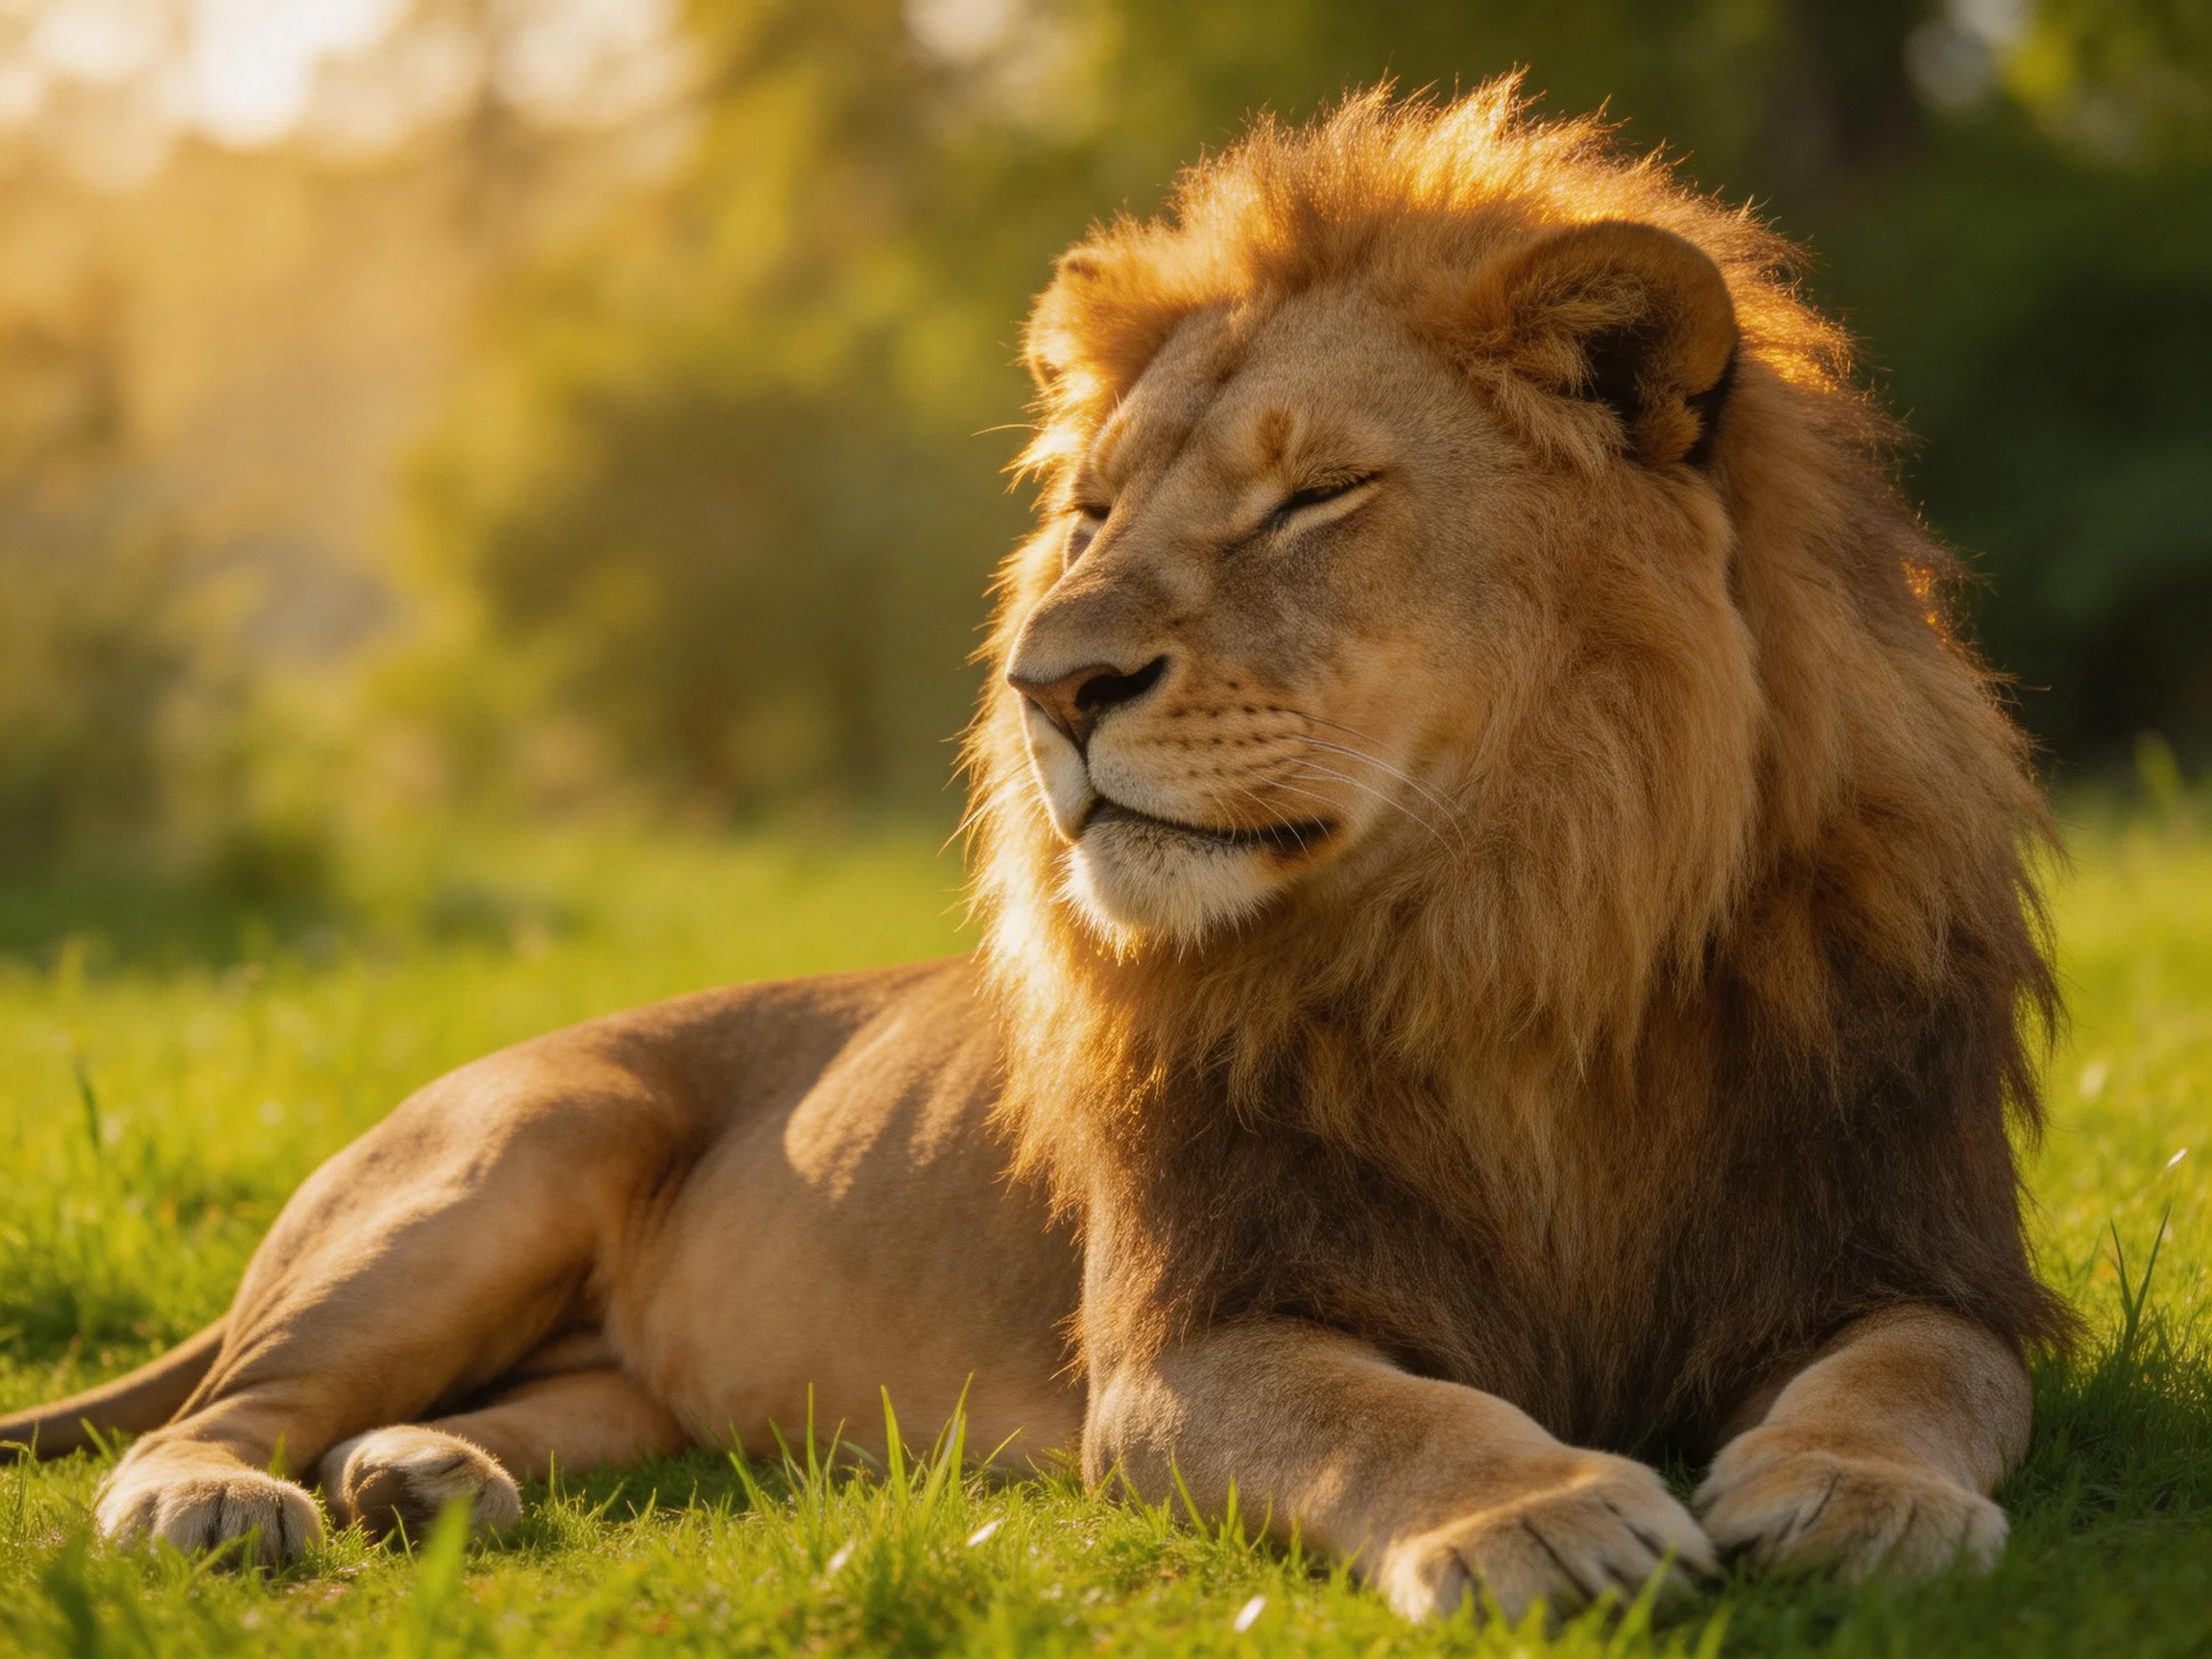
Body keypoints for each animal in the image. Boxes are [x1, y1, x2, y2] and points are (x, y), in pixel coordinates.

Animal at [1, 84, 2072, 1620]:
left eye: (1317, 496)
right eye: (1087, 513)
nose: (1044, 685)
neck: (1518, 932)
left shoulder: (1911, 1242)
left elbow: (1927, 1371)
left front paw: (1854, 1495)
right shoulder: (1188, 1345)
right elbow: (1390, 1418)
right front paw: (1541, 1514)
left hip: (603, 1362)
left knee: (536, 1407)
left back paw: (428, 1470)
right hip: (500, 1161)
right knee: (223, 1405)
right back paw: (220, 1503)